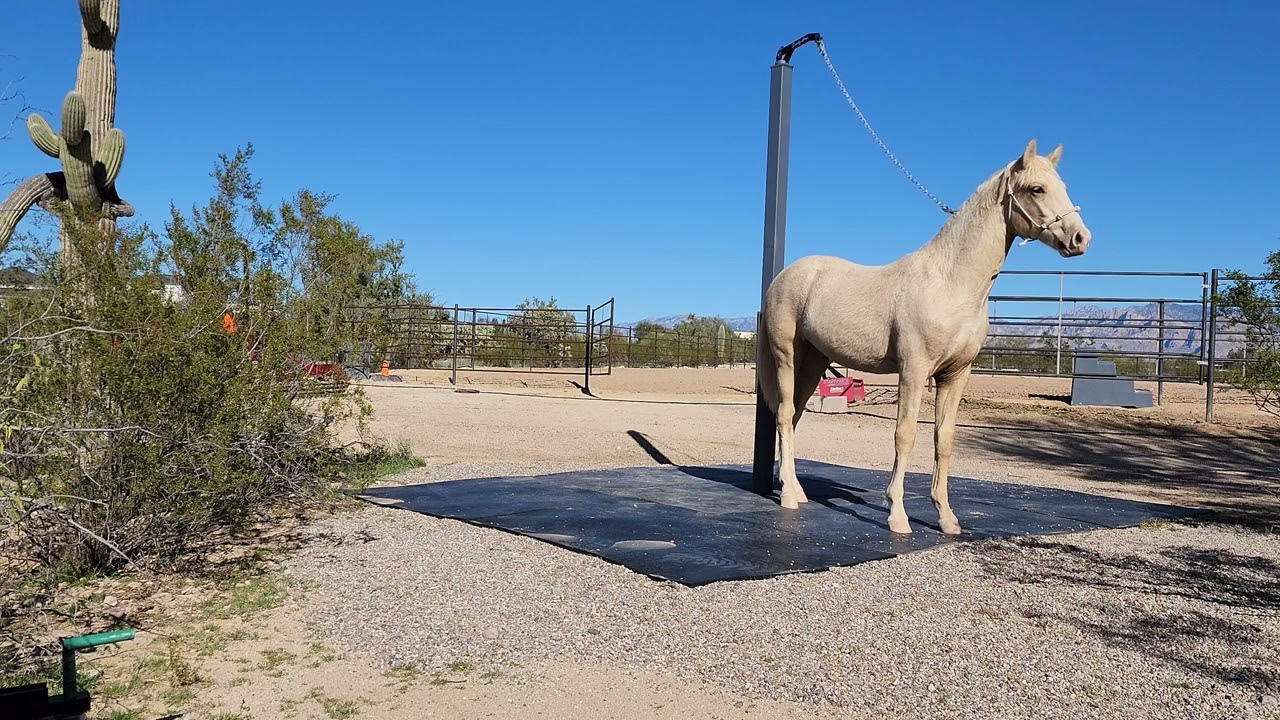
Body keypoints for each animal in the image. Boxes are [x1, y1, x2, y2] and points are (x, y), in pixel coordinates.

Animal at [756, 139, 1092, 535]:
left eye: (1063, 187)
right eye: (1037, 189)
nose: (1081, 238)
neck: (950, 283)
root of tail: (783, 278)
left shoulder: (955, 375)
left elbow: (943, 440)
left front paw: (946, 518)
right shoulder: (913, 372)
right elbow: (905, 436)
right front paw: (898, 515)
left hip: (813, 363)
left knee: (793, 418)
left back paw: (794, 488)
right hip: (787, 357)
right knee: (784, 415)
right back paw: (789, 497)